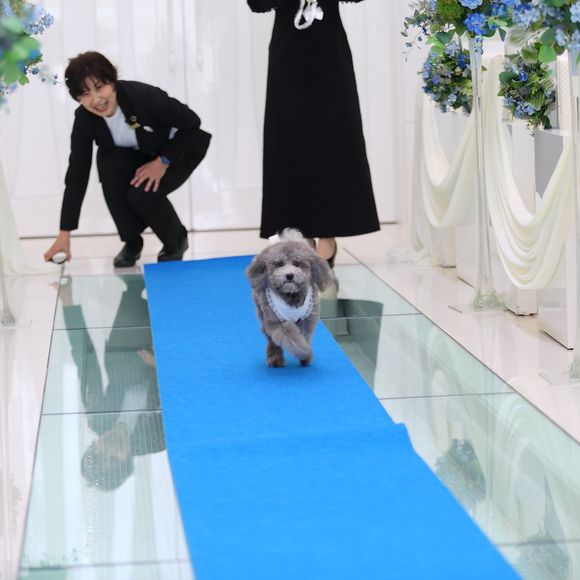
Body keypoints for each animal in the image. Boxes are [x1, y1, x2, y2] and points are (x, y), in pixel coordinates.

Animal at [246, 229, 333, 367]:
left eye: (297, 263)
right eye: (279, 264)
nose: (289, 275)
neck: (291, 295)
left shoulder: (307, 320)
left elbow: (304, 337)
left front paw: (306, 355)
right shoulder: (276, 322)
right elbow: (292, 338)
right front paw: (302, 351)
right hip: (263, 316)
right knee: (272, 341)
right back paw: (275, 359)